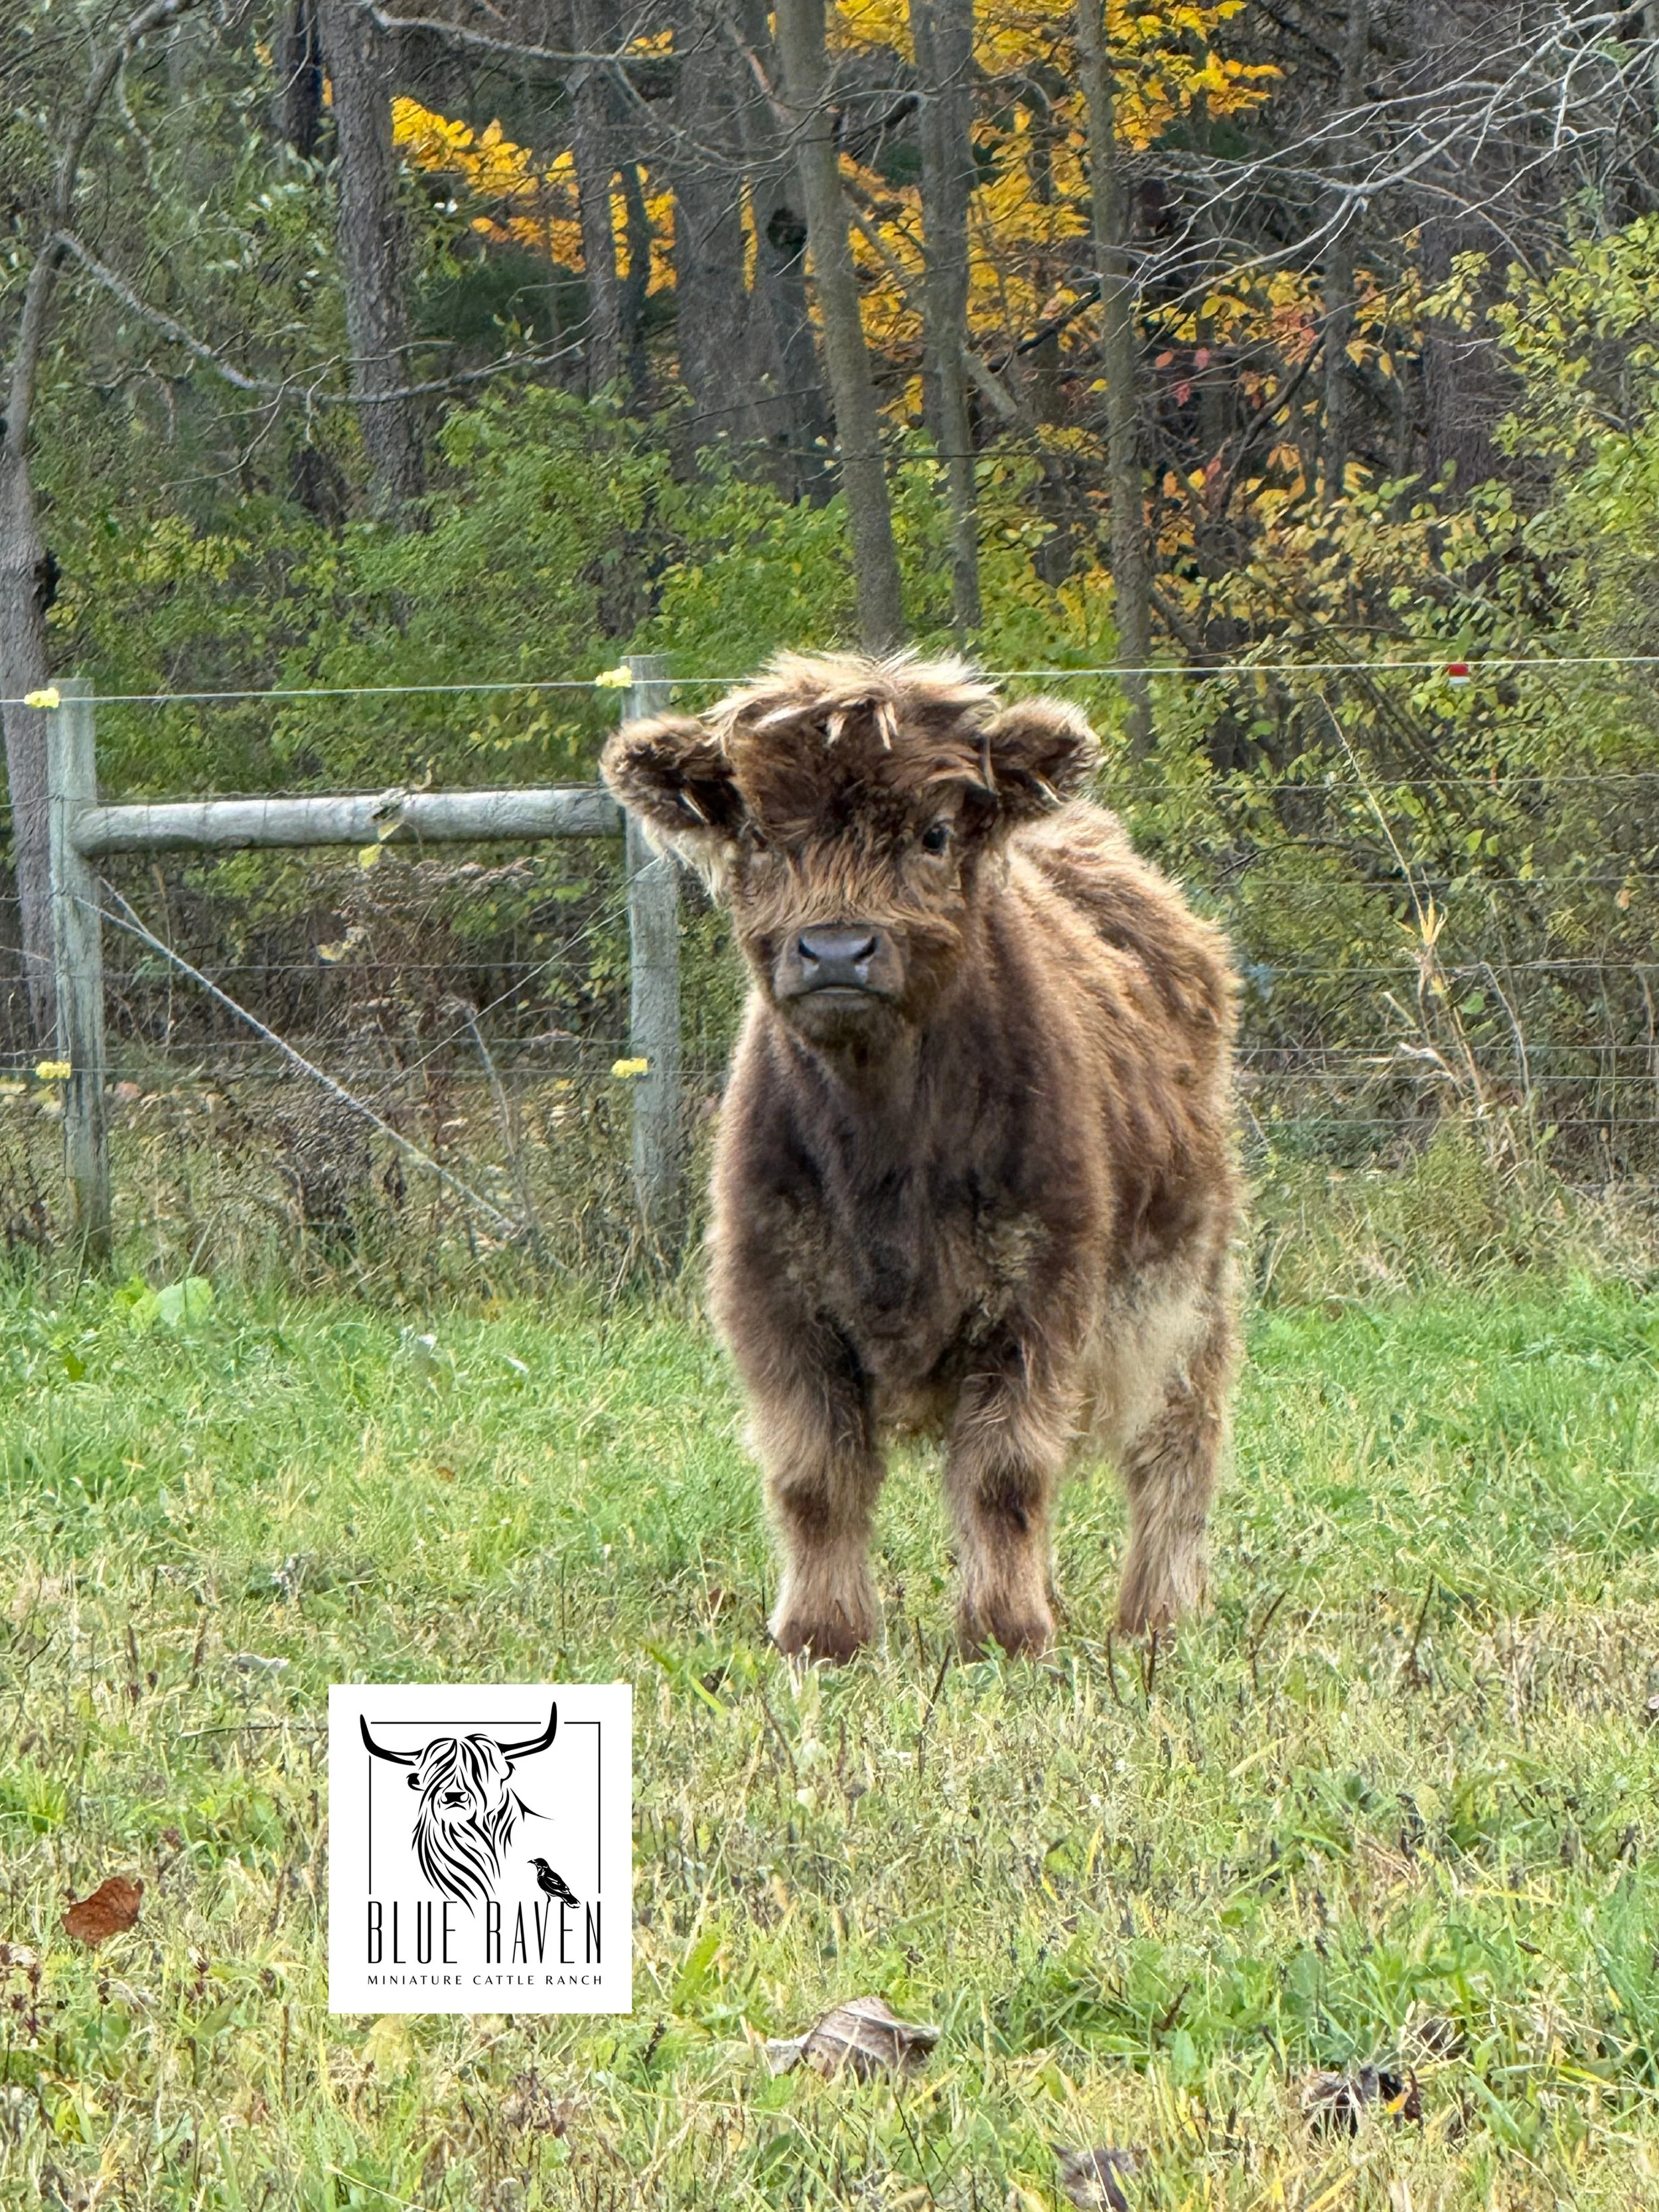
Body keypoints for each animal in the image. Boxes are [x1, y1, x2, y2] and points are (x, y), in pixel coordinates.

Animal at [602, 653, 1240, 1663]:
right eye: (760, 832)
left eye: (935, 832)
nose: (835, 949)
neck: (884, 1152)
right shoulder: (773, 1295)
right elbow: (814, 1479)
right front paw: (821, 1632)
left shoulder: (1036, 1295)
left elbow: (1004, 1474)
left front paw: (1005, 1631)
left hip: (1191, 1283)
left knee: (1180, 1444)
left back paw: (1157, 1614)